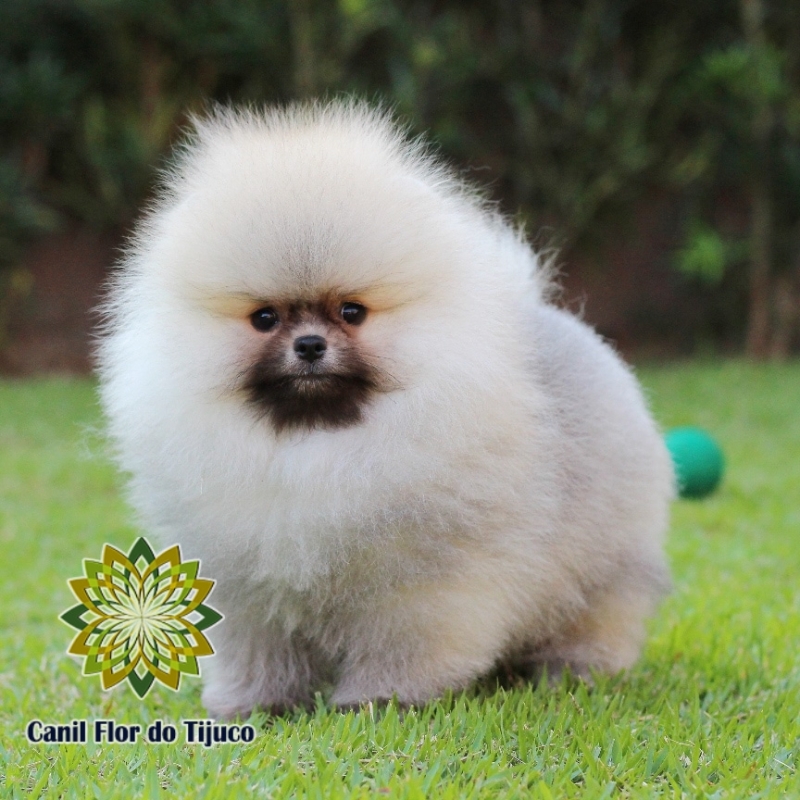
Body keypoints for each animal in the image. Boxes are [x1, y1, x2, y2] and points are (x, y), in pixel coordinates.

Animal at [100, 100, 676, 720]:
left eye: (351, 312)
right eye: (265, 318)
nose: (309, 345)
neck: (317, 447)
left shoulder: (413, 587)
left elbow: (402, 645)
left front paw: (382, 700)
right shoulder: (248, 587)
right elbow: (260, 652)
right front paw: (257, 705)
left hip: (601, 566)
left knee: (596, 612)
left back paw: (571, 672)